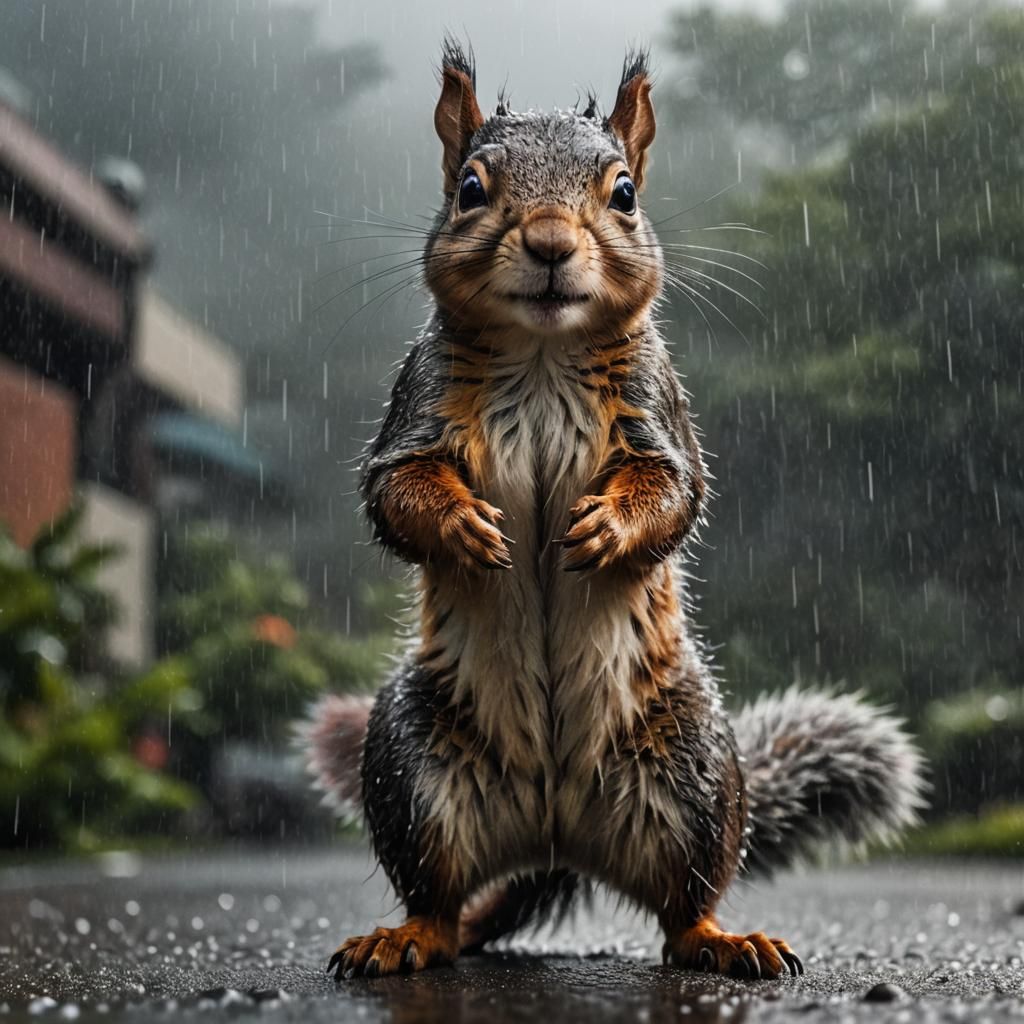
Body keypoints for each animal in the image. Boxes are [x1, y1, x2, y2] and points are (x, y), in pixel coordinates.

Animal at [304, 40, 926, 981]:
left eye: (625, 193)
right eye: (470, 189)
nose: (551, 244)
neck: (542, 351)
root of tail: (555, 843)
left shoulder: (657, 410)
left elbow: (675, 492)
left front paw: (608, 530)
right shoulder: (417, 403)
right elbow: (393, 488)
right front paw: (462, 527)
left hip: (693, 771)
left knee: (683, 906)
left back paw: (723, 939)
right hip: (411, 761)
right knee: (436, 897)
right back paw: (407, 937)